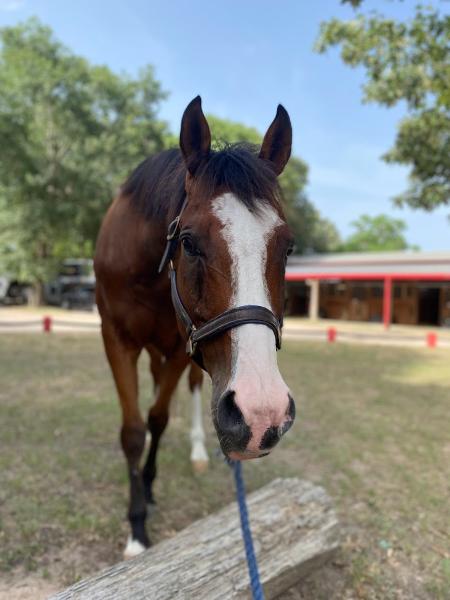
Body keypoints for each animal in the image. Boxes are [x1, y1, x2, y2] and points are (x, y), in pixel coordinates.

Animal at [94, 96, 298, 560]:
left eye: (287, 247)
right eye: (188, 242)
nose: (262, 414)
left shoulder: (178, 345)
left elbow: (157, 418)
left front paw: (148, 489)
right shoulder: (115, 338)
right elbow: (134, 430)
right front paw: (137, 529)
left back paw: (198, 451)